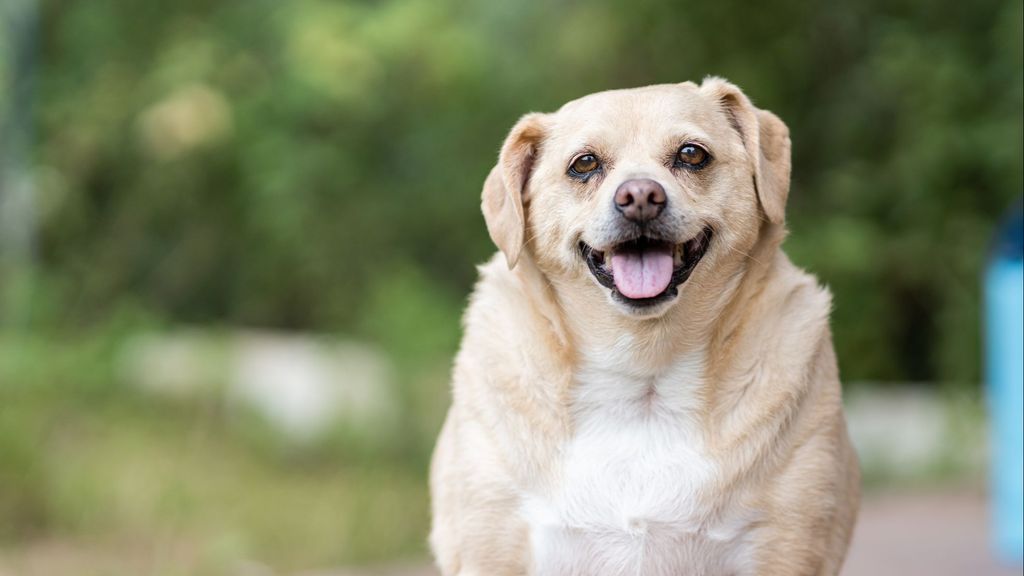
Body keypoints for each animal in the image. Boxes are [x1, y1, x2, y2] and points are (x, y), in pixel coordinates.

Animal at [428, 77, 860, 573]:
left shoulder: (787, 546)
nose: (639, 197)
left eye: (692, 154)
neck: (642, 376)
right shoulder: (492, 548)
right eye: (584, 164)